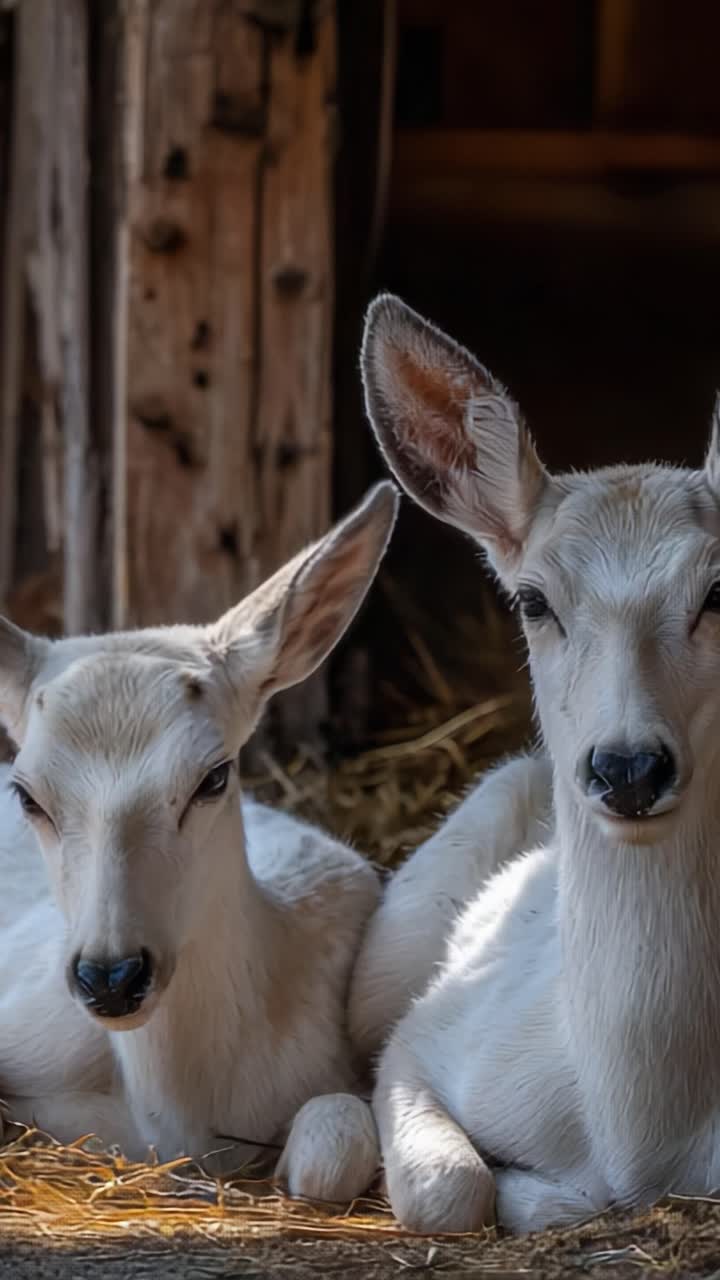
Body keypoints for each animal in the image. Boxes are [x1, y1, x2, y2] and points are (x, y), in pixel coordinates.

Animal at [354, 292, 720, 1235]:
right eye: (532, 600)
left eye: (717, 591)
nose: (628, 768)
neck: (638, 1127)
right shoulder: (419, 1038)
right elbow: (451, 1188)